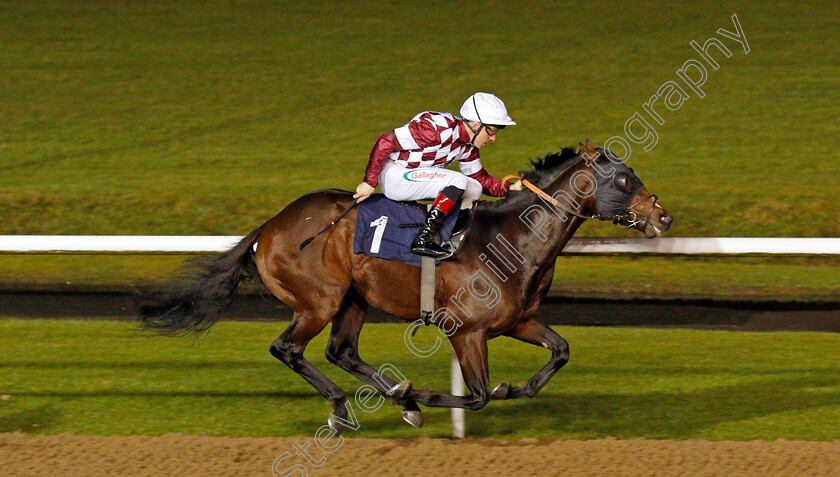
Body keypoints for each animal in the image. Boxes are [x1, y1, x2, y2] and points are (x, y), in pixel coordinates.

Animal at [141, 139, 672, 430]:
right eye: (624, 180)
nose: (663, 216)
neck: (511, 239)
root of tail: (269, 227)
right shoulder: (466, 330)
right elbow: (478, 394)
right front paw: (429, 396)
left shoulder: (518, 321)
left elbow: (559, 352)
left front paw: (513, 386)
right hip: (318, 300)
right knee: (287, 349)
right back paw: (352, 404)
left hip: (354, 299)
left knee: (342, 351)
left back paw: (398, 399)